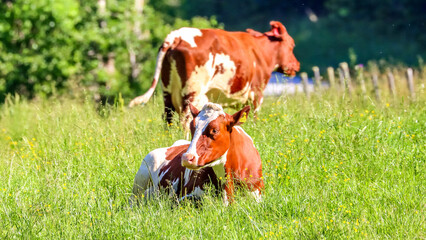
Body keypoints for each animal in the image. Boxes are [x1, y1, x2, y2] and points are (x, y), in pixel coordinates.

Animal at [130, 21, 300, 131]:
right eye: (292, 44)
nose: (297, 65)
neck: (259, 51)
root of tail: (177, 35)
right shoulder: (257, 93)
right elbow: (254, 117)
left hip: (167, 91)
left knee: (168, 118)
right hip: (192, 91)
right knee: (186, 119)